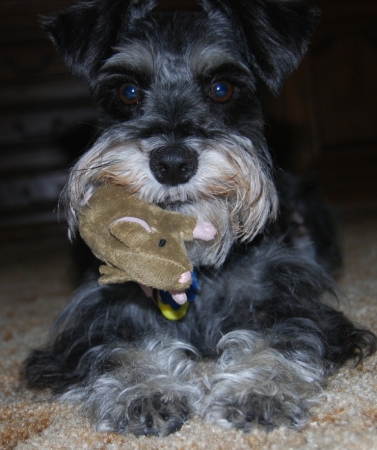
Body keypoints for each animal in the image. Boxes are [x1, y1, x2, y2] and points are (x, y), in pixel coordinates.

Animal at [24, 0, 376, 438]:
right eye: (127, 91)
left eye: (222, 88)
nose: (173, 162)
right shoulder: (97, 319)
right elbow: (120, 350)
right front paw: (145, 393)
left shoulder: (291, 305)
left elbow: (280, 338)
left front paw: (259, 393)